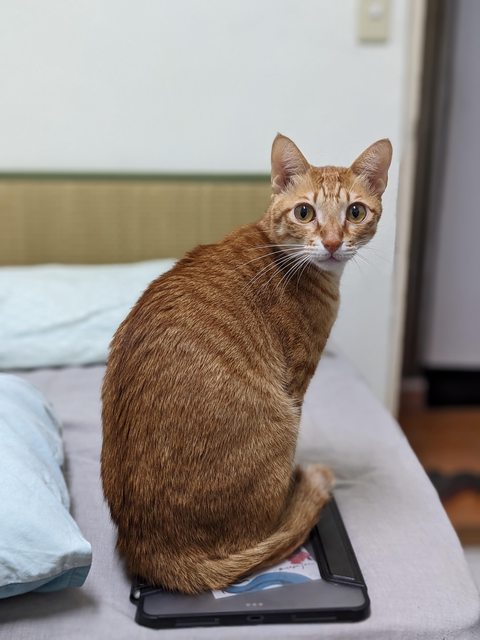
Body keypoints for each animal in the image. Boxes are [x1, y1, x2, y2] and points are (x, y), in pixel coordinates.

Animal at [101, 133, 392, 593]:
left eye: (355, 212)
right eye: (305, 212)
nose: (331, 242)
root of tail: (152, 554)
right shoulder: (297, 382)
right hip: (283, 422)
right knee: (268, 534)